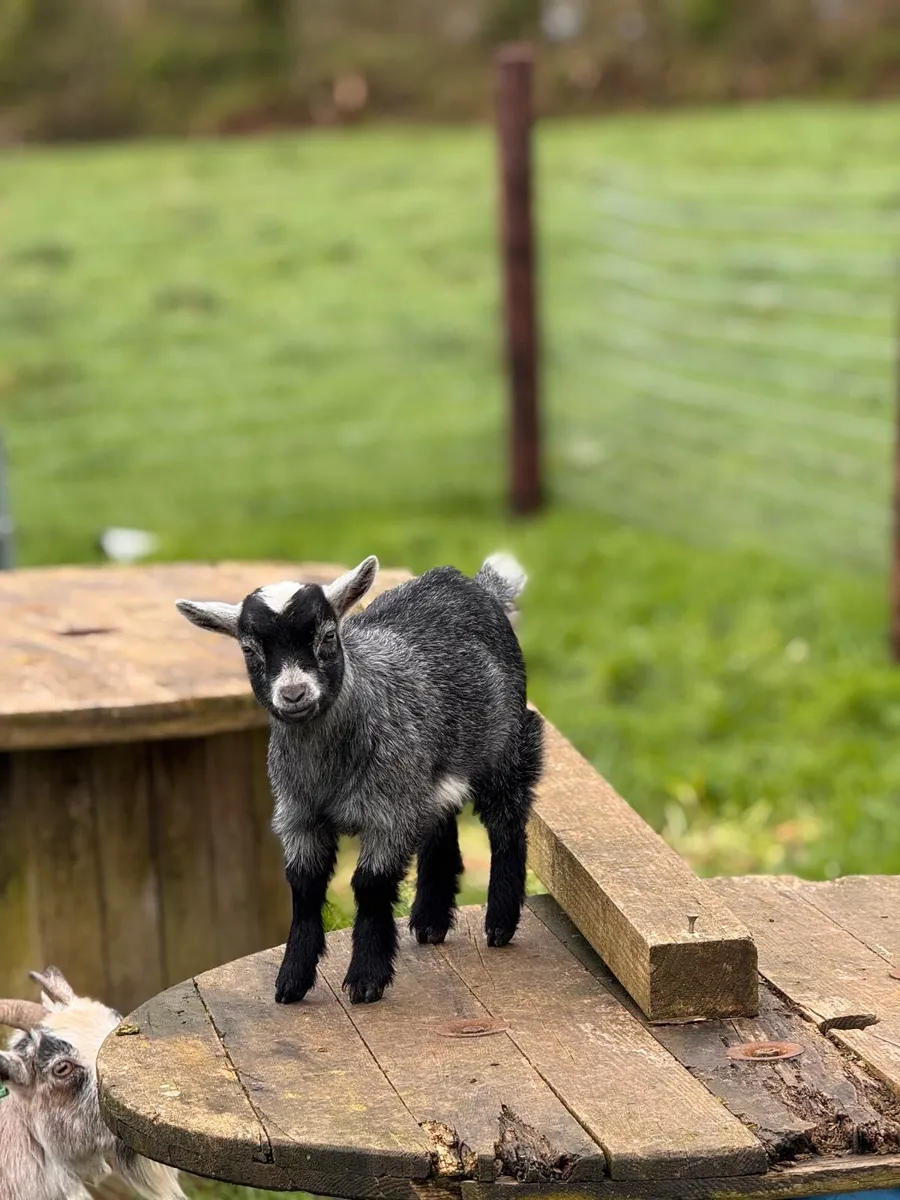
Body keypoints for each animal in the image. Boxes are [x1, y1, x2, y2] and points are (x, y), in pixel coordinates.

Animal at [176, 553, 543, 1006]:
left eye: (328, 637)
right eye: (249, 649)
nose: (294, 695)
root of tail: (473, 583)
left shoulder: (389, 814)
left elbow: (369, 885)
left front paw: (367, 977)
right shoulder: (299, 817)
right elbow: (304, 887)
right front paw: (292, 980)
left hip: (507, 745)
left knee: (507, 822)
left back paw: (500, 923)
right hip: (428, 773)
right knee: (440, 823)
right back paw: (430, 921)